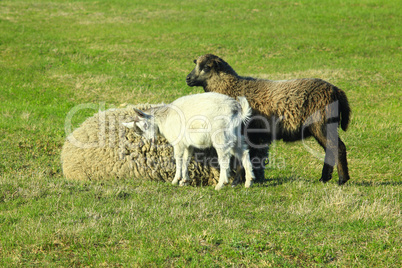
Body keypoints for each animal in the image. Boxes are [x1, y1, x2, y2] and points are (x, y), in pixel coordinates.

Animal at [122, 92, 254, 191]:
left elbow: (178, 159)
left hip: (221, 135)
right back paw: (249, 181)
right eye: (138, 132)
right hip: (235, 135)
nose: (151, 140)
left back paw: (221, 184)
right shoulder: (187, 144)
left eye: (145, 125)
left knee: (225, 158)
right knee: (244, 152)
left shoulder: (178, 142)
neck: (164, 119)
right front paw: (184, 180)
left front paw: (175, 180)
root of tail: (237, 109)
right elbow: (186, 159)